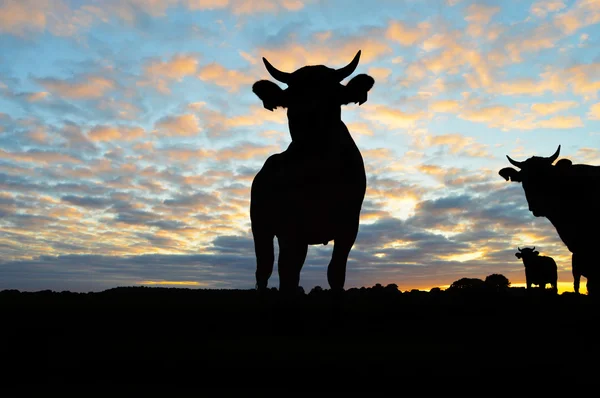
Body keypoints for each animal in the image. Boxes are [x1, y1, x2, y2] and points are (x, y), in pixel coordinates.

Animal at [250, 50, 372, 292]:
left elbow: (335, 272)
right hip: (261, 227)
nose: (310, 118)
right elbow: (287, 273)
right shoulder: (290, 226)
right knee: (265, 268)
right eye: (292, 99)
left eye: (333, 96)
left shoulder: (349, 225)